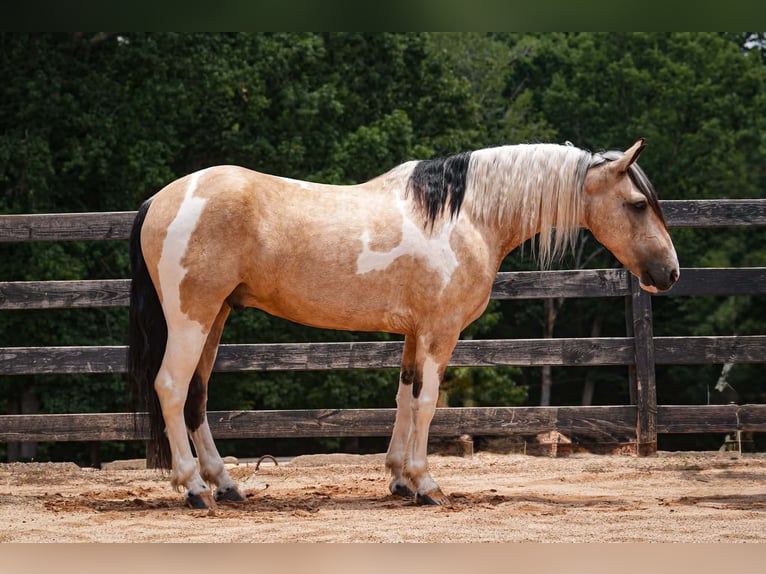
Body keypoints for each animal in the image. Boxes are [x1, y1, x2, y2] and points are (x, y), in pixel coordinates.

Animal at [127, 138, 679, 508]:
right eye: (637, 204)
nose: (670, 273)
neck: (466, 217)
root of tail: (161, 198)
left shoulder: (415, 332)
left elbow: (404, 397)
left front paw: (397, 479)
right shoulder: (440, 330)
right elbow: (428, 402)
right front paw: (426, 484)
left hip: (216, 316)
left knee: (196, 397)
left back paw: (226, 484)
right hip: (192, 318)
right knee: (172, 387)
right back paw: (194, 488)